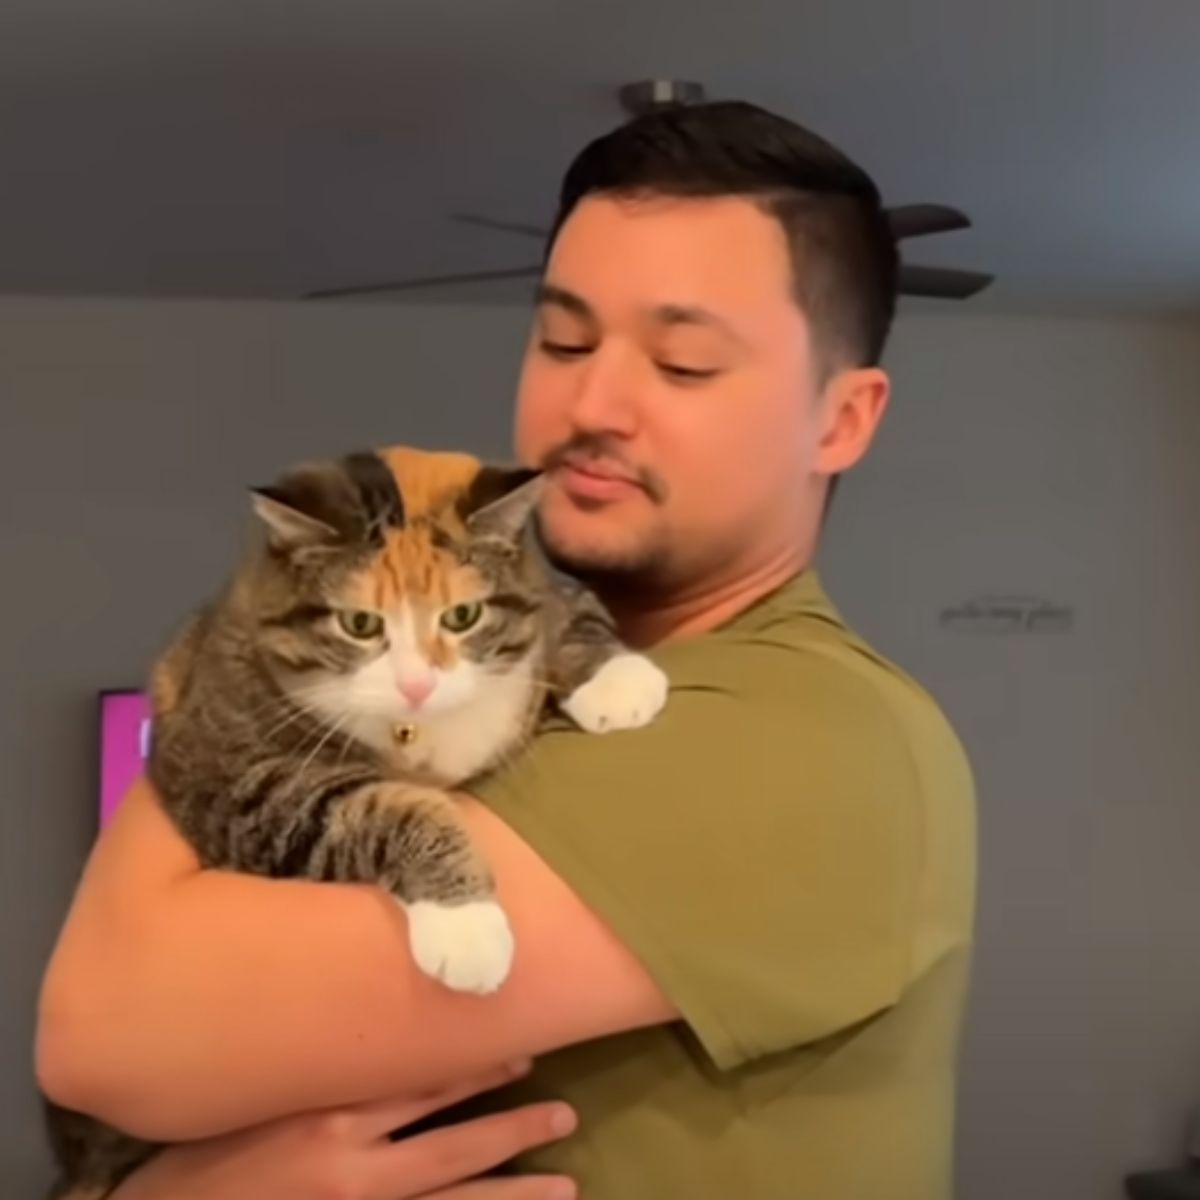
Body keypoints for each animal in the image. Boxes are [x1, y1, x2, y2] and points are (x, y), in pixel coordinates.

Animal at [44, 444, 667, 1200]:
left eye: (462, 615)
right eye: (361, 625)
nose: (417, 685)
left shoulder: (533, 592)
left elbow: (566, 604)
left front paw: (617, 680)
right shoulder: (236, 777)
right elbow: (386, 805)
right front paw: (467, 926)